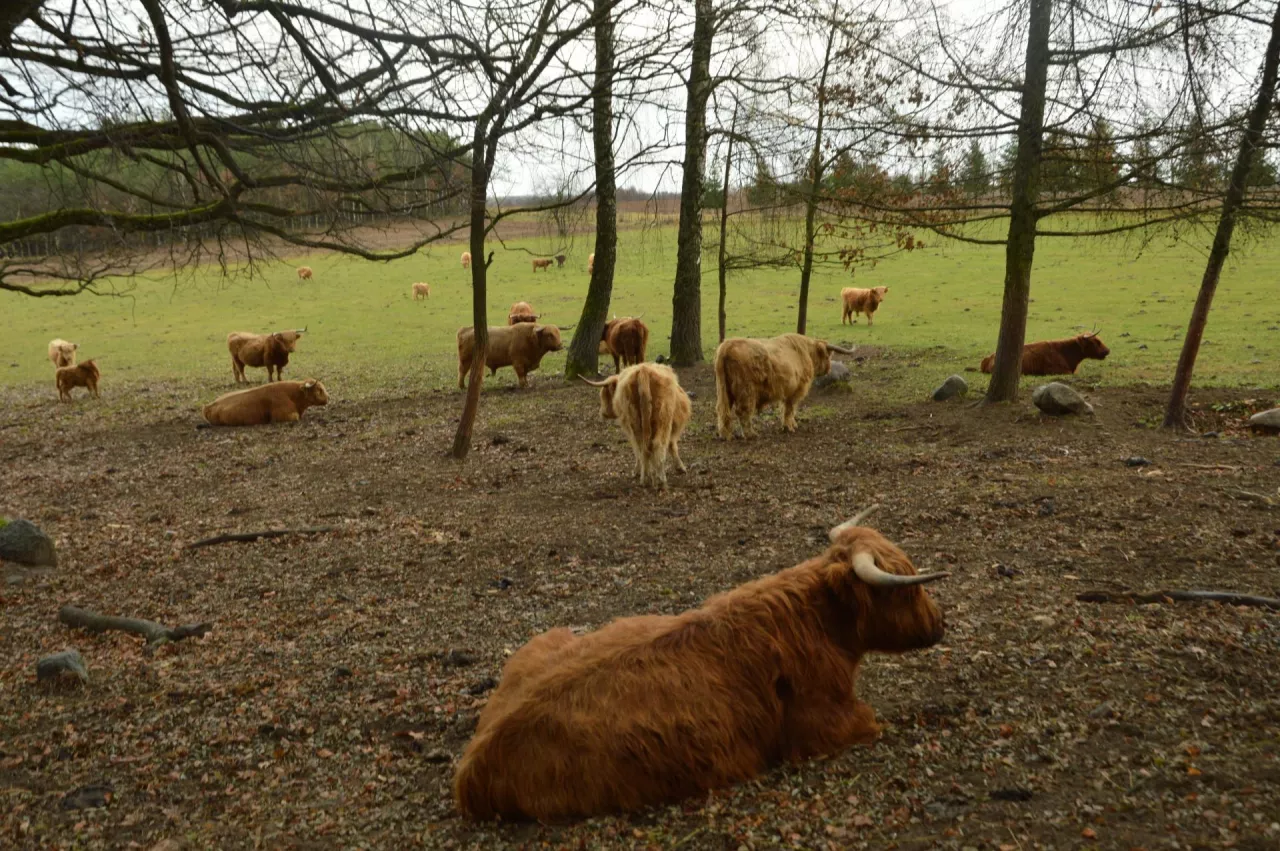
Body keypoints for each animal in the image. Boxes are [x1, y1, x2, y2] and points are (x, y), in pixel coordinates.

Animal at [453, 505, 948, 821]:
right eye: (905, 590)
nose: (941, 622)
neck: (814, 620)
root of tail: (470, 771)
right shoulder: (827, 726)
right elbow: (876, 720)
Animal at [714, 333, 854, 439]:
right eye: (827, 356)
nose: (828, 369)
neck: (806, 353)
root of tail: (727, 345)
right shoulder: (797, 390)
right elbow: (790, 409)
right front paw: (790, 427)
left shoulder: (788, 392)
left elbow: (787, 408)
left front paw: (790, 425)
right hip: (746, 390)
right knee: (742, 411)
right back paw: (751, 434)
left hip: (724, 390)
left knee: (723, 411)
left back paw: (725, 435)